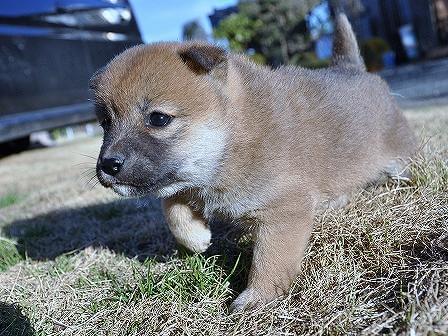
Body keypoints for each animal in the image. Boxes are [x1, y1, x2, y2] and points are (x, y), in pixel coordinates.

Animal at [91, 14, 416, 312]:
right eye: (105, 123)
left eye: (158, 118)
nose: (108, 165)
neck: (237, 135)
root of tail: (354, 70)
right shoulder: (186, 184)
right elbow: (171, 207)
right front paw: (196, 238)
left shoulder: (284, 213)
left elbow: (269, 261)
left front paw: (258, 296)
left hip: (402, 158)